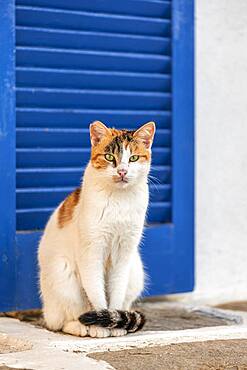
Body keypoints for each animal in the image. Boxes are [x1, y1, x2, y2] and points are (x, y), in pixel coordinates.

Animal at [37, 120, 155, 336]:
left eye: (133, 158)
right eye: (110, 157)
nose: (122, 171)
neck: (119, 201)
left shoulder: (124, 254)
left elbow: (116, 291)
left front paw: (115, 323)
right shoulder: (91, 252)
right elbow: (96, 293)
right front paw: (100, 325)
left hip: (136, 271)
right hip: (63, 275)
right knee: (61, 322)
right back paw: (81, 327)